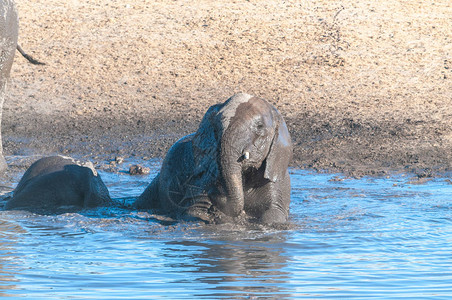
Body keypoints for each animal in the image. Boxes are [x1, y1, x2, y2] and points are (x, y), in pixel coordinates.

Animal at [135, 92, 294, 224]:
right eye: (216, 128)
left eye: (260, 127)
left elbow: (274, 214)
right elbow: (194, 211)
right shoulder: (205, 177)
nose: (214, 192)